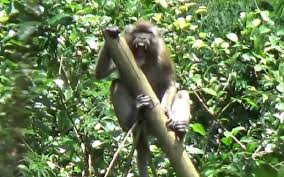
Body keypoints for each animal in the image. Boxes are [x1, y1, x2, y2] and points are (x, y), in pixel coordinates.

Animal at [95, 21, 191, 177]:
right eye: (137, 32)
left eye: (148, 33)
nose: (141, 38)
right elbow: (100, 73)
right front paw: (111, 31)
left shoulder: (163, 55)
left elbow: (171, 83)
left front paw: (165, 109)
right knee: (117, 84)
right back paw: (134, 115)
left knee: (183, 93)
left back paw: (180, 131)